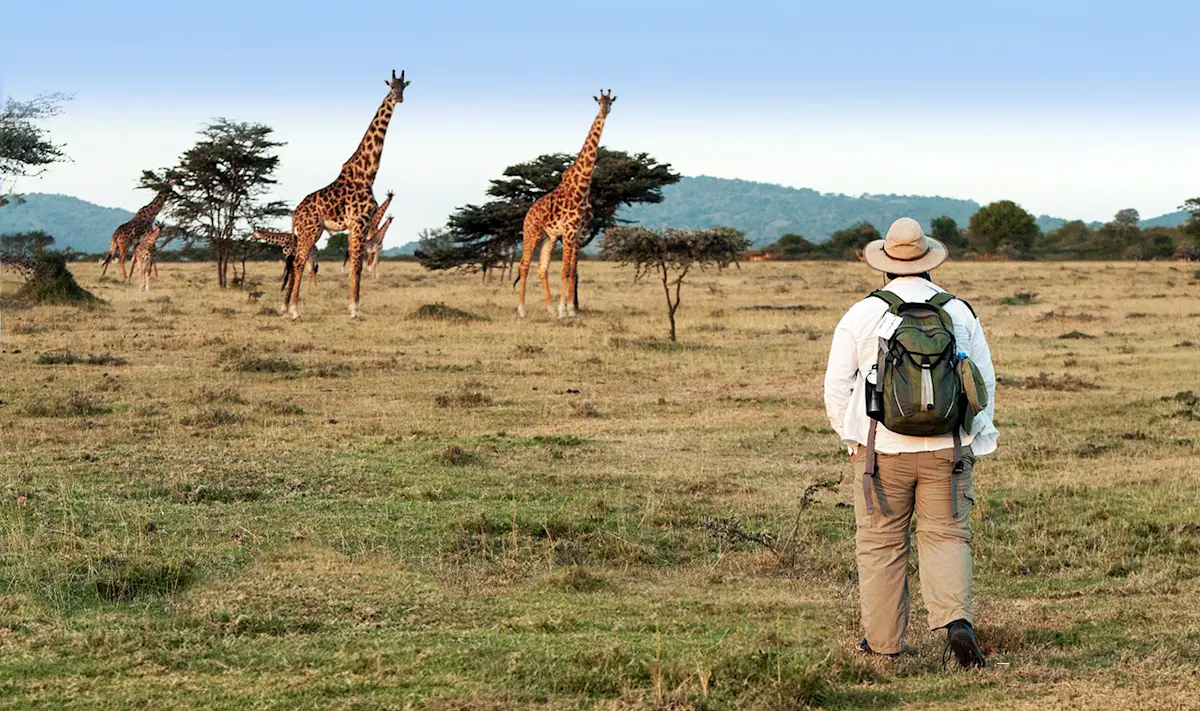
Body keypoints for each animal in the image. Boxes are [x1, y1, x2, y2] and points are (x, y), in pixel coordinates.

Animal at [281, 70, 410, 319]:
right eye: (391, 86)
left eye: (404, 87)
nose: (398, 98)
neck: (367, 174)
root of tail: (294, 214)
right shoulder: (359, 223)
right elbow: (356, 265)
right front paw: (354, 309)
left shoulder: (359, 225)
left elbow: (355, 264)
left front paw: (353, 306)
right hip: (310, 230)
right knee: (299, 262)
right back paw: (294, 310)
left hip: (311, 232)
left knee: (295, 262)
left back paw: (285, 306)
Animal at [515, 90, 615, 319]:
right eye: (599, 101)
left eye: (611, 101)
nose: (605, 110)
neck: (583, 187)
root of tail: (528, 213)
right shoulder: (569, 233)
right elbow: (565, 270)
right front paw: (564, 310)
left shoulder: (578, 234)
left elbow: (573, 271)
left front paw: (570, 309)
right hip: (531, 233)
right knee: (524, 265)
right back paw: (522, 310)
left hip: (548, 237)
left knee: (542, 267)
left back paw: (549, 308)